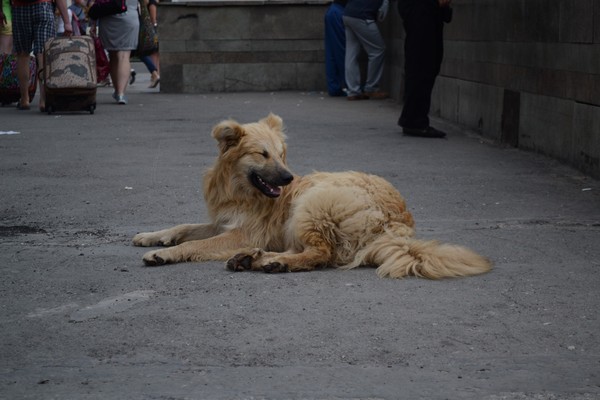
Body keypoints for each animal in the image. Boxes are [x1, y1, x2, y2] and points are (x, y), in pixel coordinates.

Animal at [132, 114, 492, 280]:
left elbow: (195, 244)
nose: (289, 179)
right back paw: (253, 259)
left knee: (320, 253)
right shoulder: (224, 223)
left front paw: (165, 254)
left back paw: (270, 262)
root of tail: (399, 223)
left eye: (281, 155)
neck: (239, 190)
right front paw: (152, 236)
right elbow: (184, 227)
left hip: (311, 205)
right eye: (262, 154)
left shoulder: (244, 231)